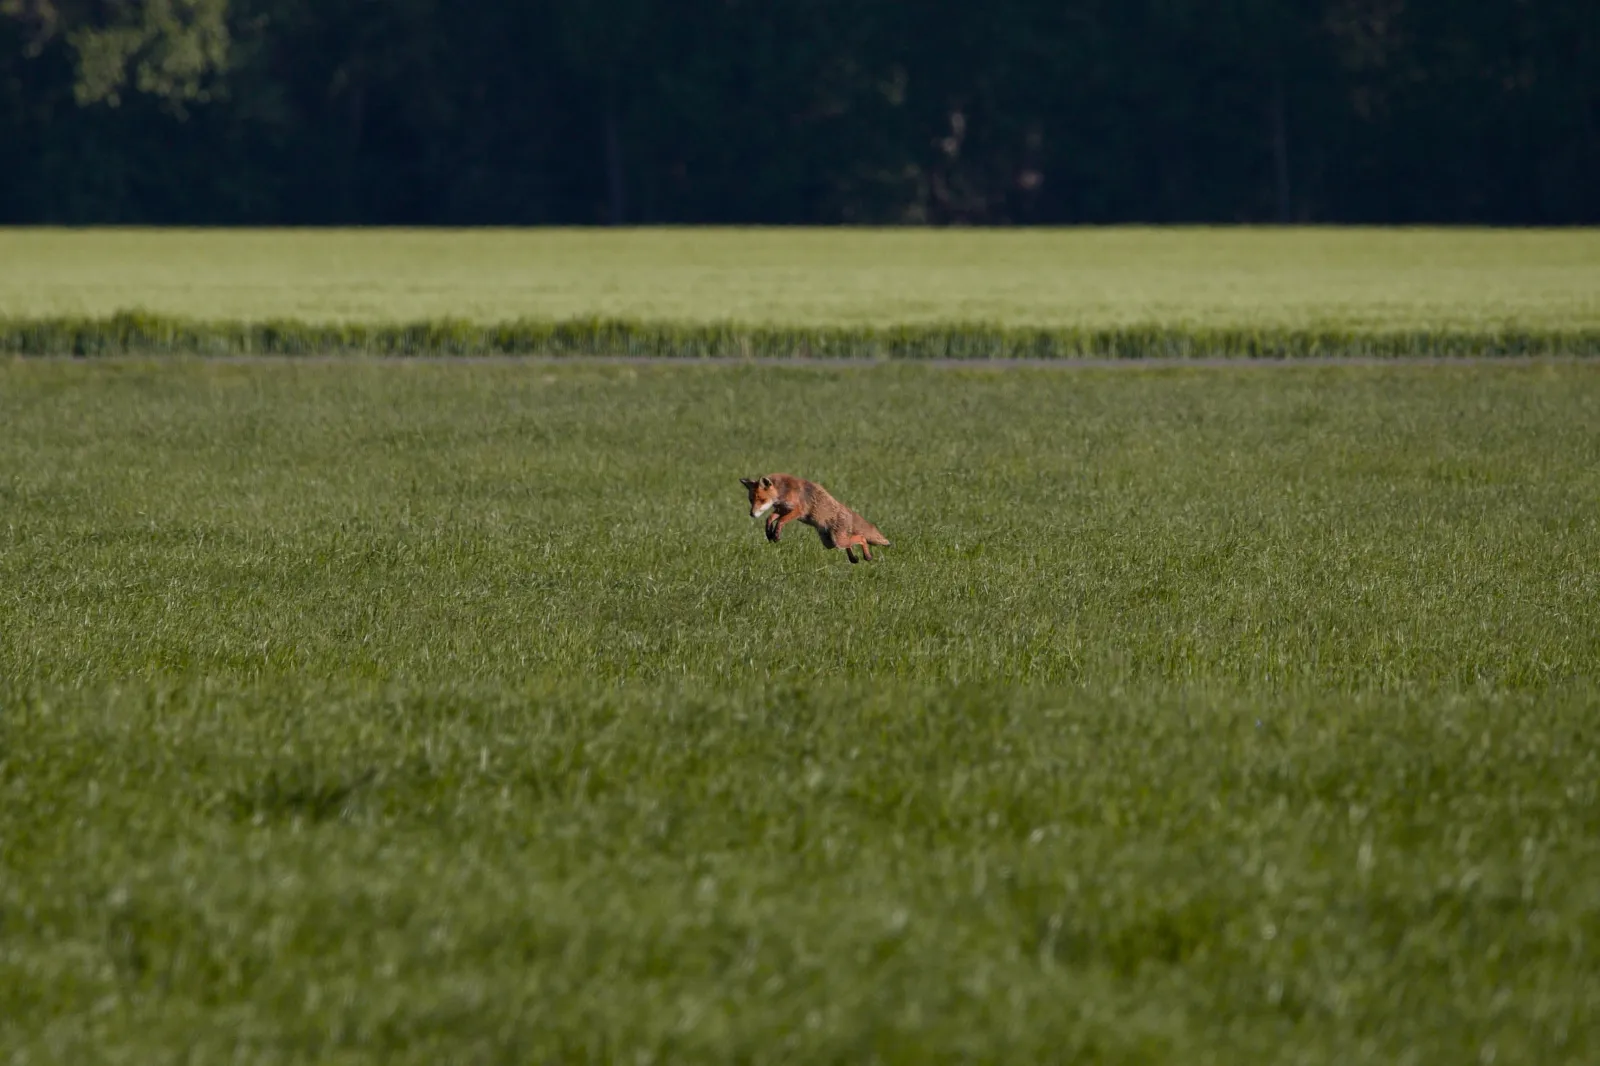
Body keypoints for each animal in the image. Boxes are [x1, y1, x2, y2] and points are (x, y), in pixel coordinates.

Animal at [739, 474, 891, 563]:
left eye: (762, 500)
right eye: (751, 500)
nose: (752, 514)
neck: (783, 491)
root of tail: (848, 511)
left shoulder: (798, 510)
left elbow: (781, 521)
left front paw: (776, 534)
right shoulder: (782, 509)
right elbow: (770, 518)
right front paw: (769, 532)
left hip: (837, 541)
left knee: (862, 538)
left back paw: (867, 556)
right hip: (830, 543)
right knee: (851, 543)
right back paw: (853, 558)